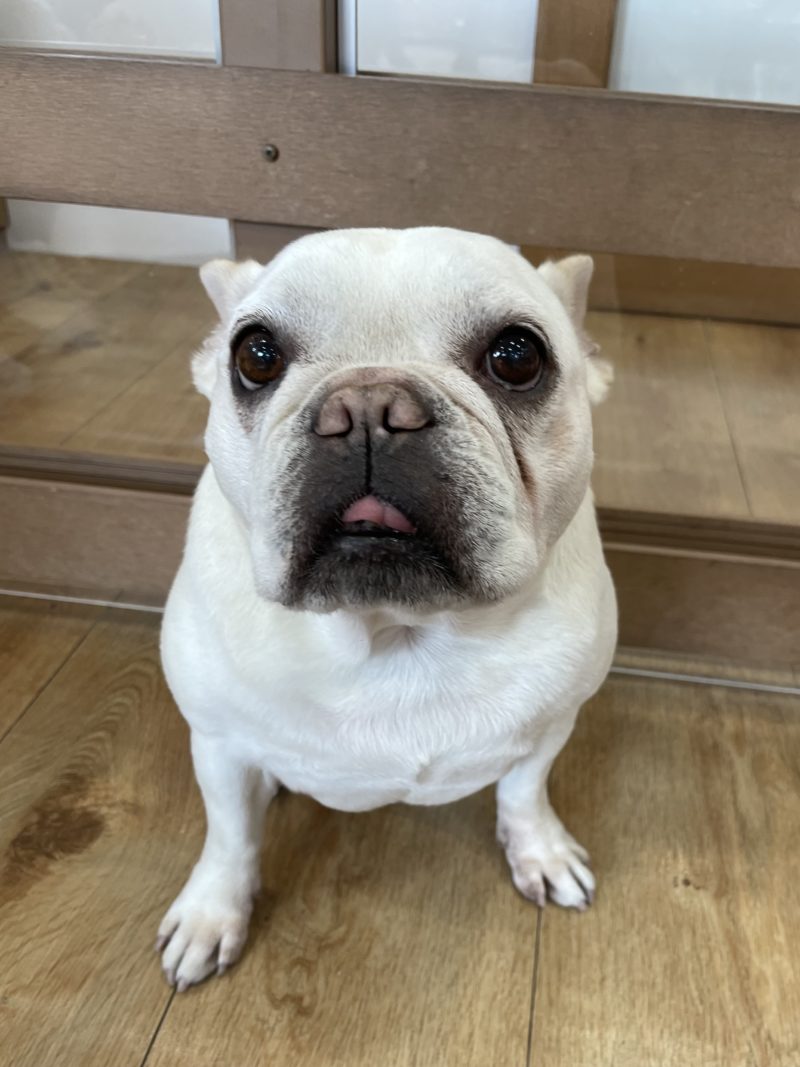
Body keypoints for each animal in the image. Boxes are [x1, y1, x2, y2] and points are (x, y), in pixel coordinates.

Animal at [156, 227, 617, 991]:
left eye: (517, 356)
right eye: (255, 355)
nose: (369, 405)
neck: (399, 628)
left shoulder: (552, 726)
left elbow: (524, 793)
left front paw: (540, 851)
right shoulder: (216, 743)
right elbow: (229, 836)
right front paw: (211, 913)